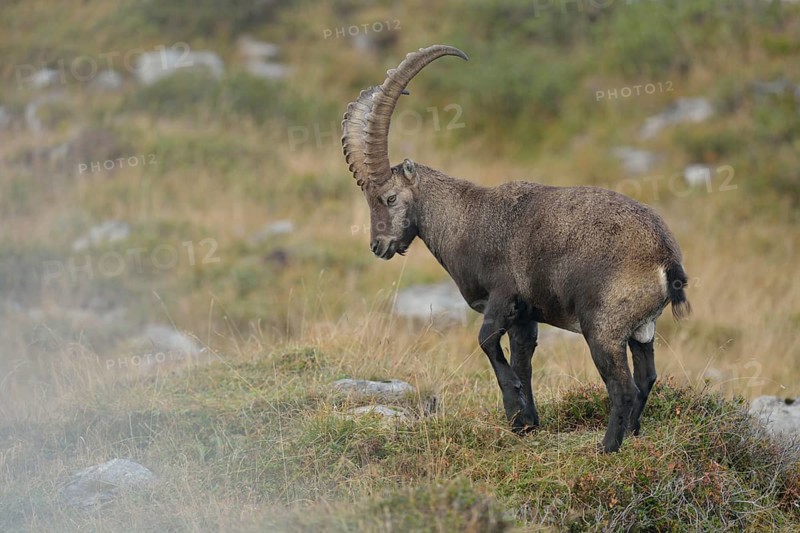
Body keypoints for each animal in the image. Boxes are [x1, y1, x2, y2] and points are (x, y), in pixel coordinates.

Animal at [341, 45, 690, 452]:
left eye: (390, 197)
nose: (379, 246)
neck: (466, 218)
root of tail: (666, 257)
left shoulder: (503, 296)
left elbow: (487, 342)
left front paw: (515, 412)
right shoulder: (526, 315)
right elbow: (524, 360)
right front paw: (528, 420)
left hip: (603, 328)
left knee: (624, 388)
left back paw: (606, 448)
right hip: (641, 330)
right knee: (647, 377)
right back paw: (632, 434)